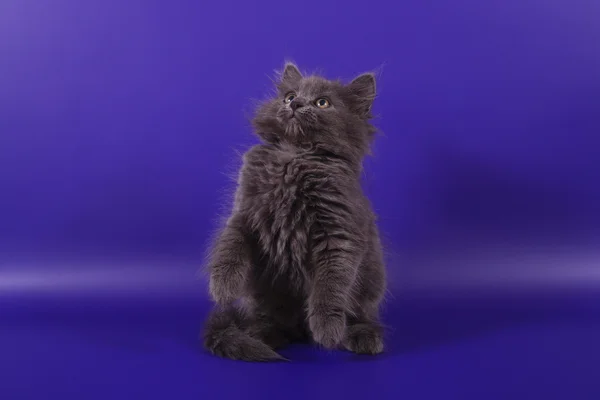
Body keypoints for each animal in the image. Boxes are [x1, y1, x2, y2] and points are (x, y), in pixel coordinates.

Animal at [202, 63, 386, 362]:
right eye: (289, 96)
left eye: (322, 103)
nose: (296, 104)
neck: (294, 156)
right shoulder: (244, 209)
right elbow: (230, 245)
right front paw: (222, 287)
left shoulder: (338, 229)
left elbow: (330, 285)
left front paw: (327, 329)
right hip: (267, 296)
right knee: (272, 322)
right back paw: (261, 335)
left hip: (371, 284)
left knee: (361, 315)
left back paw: (362, 337)